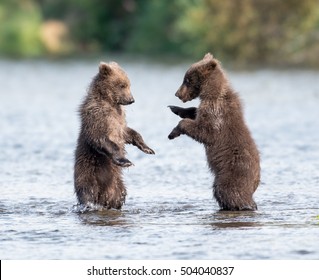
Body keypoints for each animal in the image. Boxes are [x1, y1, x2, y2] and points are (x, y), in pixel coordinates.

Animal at [74, 61, 156, 210]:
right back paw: (90, 203)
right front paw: (125, 161)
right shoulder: (97, 116)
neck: (109, 102)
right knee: (88, 192)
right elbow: (101, 139)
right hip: (88, 173)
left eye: (129, 84)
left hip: (116, 182)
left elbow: (129, 133)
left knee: (120, 194)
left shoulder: (120, 120)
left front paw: (148, 149)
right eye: (122, 85)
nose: (131, 100)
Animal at [169, 53, 262, 210]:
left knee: (226, 191)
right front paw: (176, 109)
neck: (211, 93)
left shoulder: (217, 114)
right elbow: (195, 112)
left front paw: (174, 132)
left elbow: (205, 131)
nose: (177, 94)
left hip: (232, 173)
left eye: (187, 80)